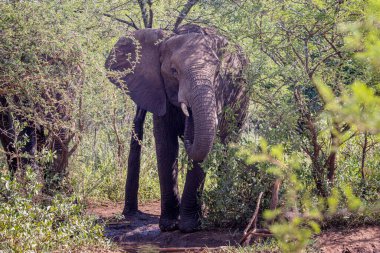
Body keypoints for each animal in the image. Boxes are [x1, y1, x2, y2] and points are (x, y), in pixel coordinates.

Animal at [105, 24, 249, 233]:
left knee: (228, 145)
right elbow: (165, 146)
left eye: (217, 73)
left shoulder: (219, 91)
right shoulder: (157, 90)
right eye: (173, 71)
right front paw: (169, 225)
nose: (188, 113)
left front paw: (189, 226)